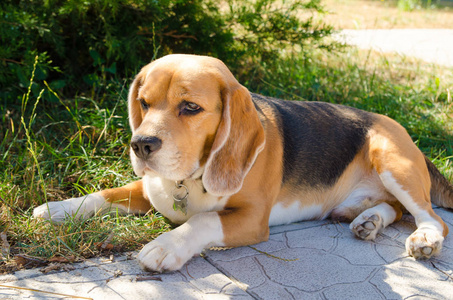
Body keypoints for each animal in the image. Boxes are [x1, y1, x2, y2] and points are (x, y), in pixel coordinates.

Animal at [34, 53, 452, 272]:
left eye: (191, 108)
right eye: (144, 103)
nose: (140, 145)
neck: (191, 178)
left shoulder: (252, 219)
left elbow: (203, 220)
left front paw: (167, 244)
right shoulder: (150, 188)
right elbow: (106, 194)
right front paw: (58, 209)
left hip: (391, 160)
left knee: (432, 217)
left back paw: (424, 239)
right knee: (396, 209)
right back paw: (370, 221)